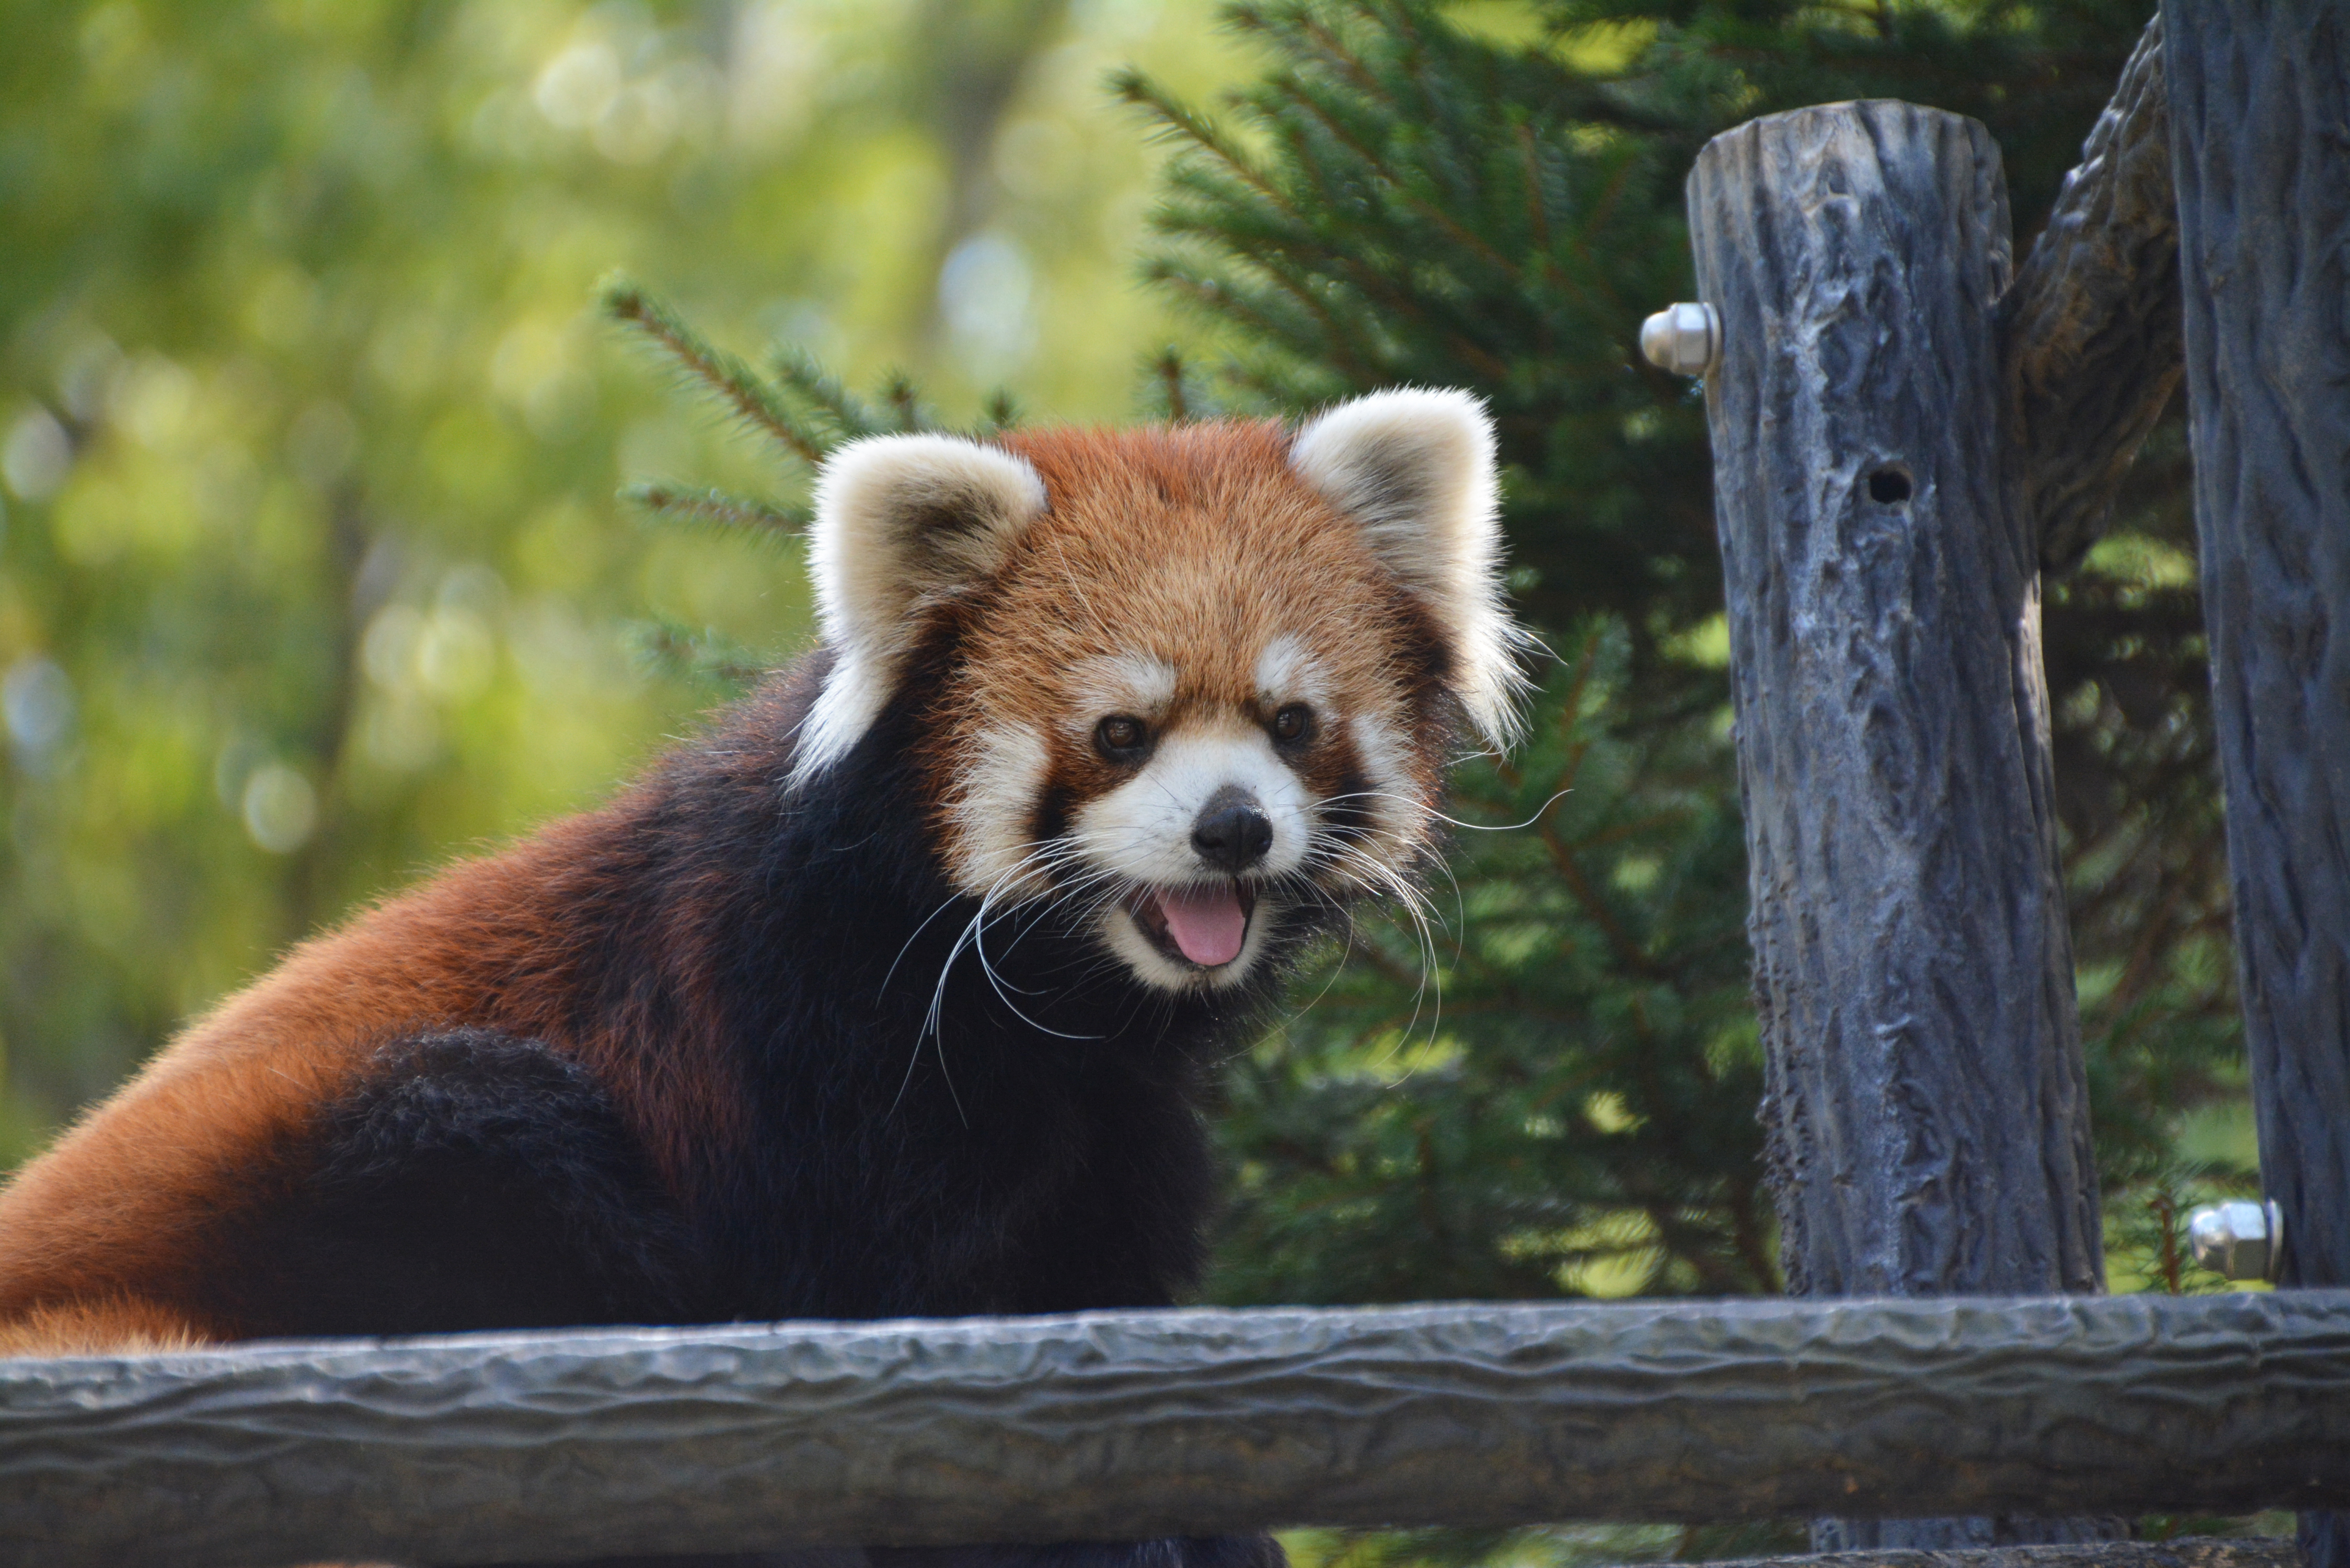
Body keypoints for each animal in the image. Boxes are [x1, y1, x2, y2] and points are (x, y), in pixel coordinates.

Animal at [0, 390, 1523, 1568]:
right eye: (1118, 734)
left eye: (1290, 722)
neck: (1046, 1000)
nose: (1232, 829)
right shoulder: (788, 1038)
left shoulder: (1104, 1129)